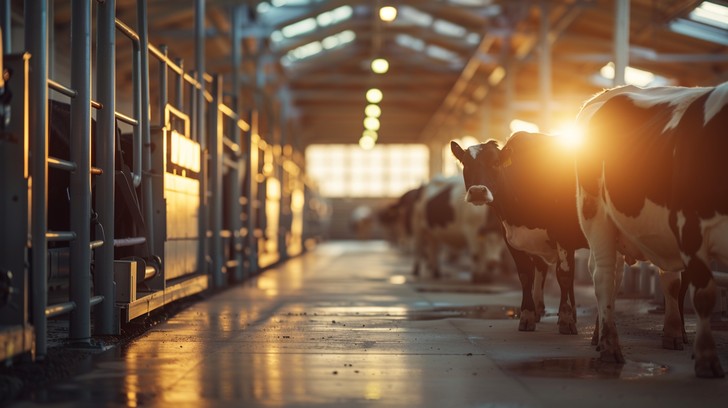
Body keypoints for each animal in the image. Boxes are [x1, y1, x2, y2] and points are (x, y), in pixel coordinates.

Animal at [451, 133, 586, 334]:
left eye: (495, 163)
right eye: (465, 164)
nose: (477, 191)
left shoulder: (564, 235)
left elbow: (564, 275)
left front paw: (566, 319)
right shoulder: (513, 240)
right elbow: (525, 275)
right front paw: (528, 316)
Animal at [574, 82, 728, 378]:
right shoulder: (691, 229)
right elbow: (704, 295)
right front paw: (707, 360)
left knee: (660, 280)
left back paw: (670, 334)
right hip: (596, 217)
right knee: (605, 277)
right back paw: (608, 345)